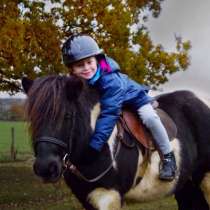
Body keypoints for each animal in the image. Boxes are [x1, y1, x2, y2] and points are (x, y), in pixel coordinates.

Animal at [21, 75, 210, 210]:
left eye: (67, 115)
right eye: (33, 118)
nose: (45, 167)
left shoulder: (108, 196)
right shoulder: (86, 198)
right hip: (187, 183)